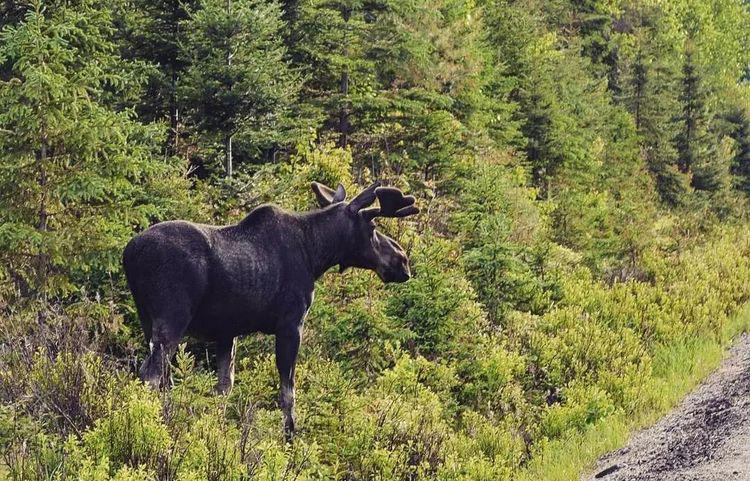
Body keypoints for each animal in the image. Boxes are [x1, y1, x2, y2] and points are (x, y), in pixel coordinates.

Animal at [122, 180, 418, 436]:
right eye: (372, 226)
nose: (402, 260)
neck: (315, 254)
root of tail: (129, 254)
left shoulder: (227, 332)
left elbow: (224, 387)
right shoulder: (291, 323)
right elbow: (288, 392)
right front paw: (290, 438)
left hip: (146, 319)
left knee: (159, 377)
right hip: (172, 316)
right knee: (151, 375)